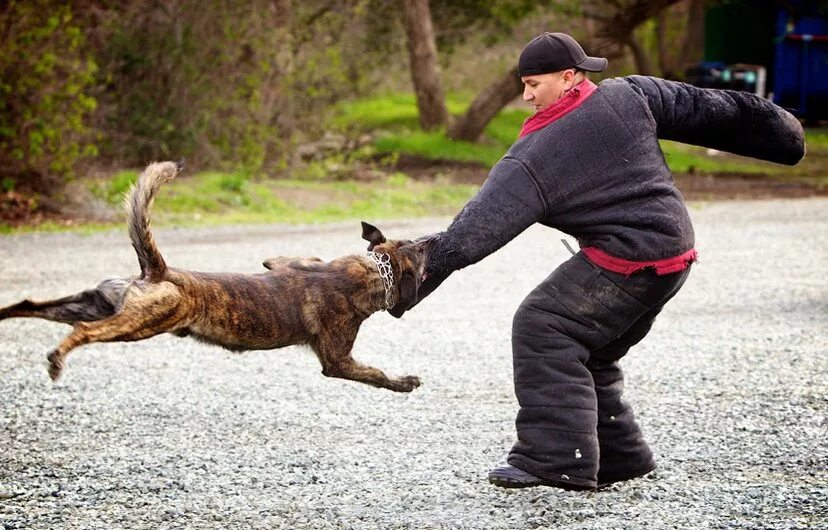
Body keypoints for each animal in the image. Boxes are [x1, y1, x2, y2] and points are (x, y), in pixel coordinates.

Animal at [0, 163, 436, 390]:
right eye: (418, 251)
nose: (432, 240)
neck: (373, 270)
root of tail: (158, 271)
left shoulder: (286, 259)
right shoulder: (338, 360)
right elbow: (375, 374)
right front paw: (403, 381)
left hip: (90, 302)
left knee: (30, 304)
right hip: (136, 323)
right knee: (83, 333)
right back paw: (57, 359)